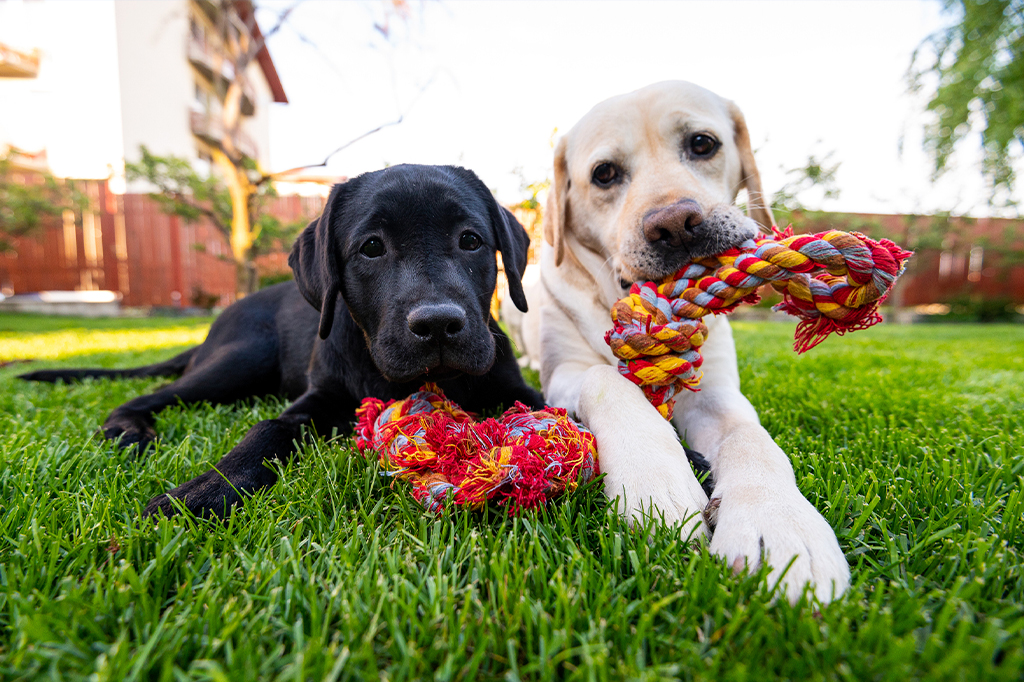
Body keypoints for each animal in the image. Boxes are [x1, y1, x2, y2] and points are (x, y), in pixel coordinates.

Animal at [19, 163, 544, 516]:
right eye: (372, 247)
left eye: (471, 240)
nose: (437, 324)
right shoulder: (318, 397)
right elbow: (268, 428)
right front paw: (204, 490)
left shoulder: (515, 387)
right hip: (242, 358)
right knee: (152, 394)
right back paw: (128, 430)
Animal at [520, 79, 847, 602]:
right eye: (604, 174)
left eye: (702, 143)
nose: (674, 224)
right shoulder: (564, 372)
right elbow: (606, 379)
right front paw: (656, 486)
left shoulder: (715, 392)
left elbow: (751, 438)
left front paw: (780, 526)